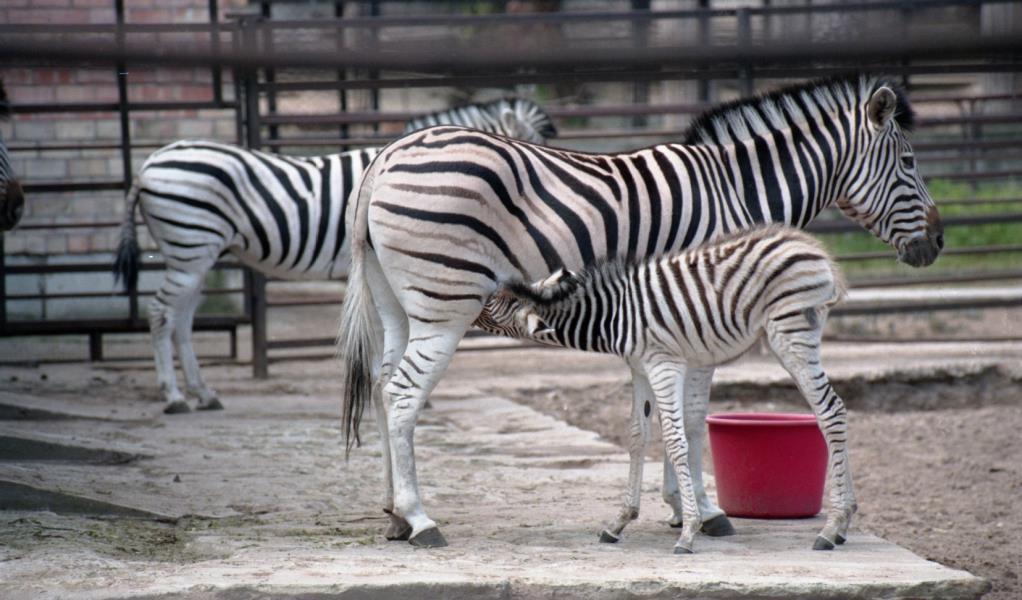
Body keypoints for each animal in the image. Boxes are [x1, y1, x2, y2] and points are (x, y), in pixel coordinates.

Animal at [113, 98, 555, 414]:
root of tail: (149, 164)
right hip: (190, 244)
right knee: (162, 313)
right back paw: (174, 397)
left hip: (196, 253)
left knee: (182, 320)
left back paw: (204, 393)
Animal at [476, 225, 850, 554]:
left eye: (493, 307)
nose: (473, 302)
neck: (615, 314)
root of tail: (812, 248)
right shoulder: (640, 368)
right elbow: (637, 435)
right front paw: (620, 522)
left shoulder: (664, 363)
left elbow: (673, 437)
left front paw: (688, 532)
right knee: (834, 411)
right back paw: (843, 524)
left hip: (791, 334)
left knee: (831, 412)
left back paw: (830, 529)